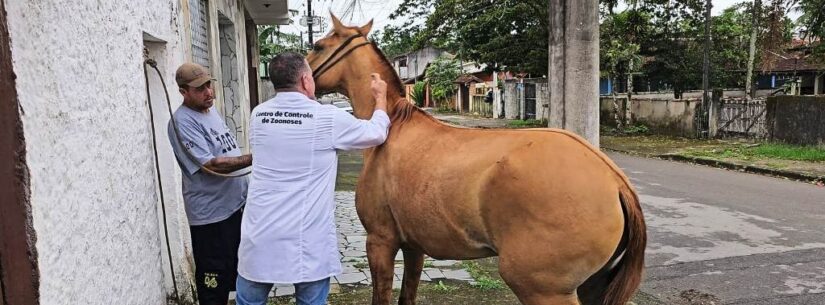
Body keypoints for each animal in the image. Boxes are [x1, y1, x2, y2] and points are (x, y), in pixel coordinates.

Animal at [306, 16, 648, 304]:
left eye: (318, 46)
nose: (302, 74)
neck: (391, 126)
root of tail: (614, 180)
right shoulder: (414, 246)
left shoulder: (380, 241)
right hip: (590, 286)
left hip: (542, 290)